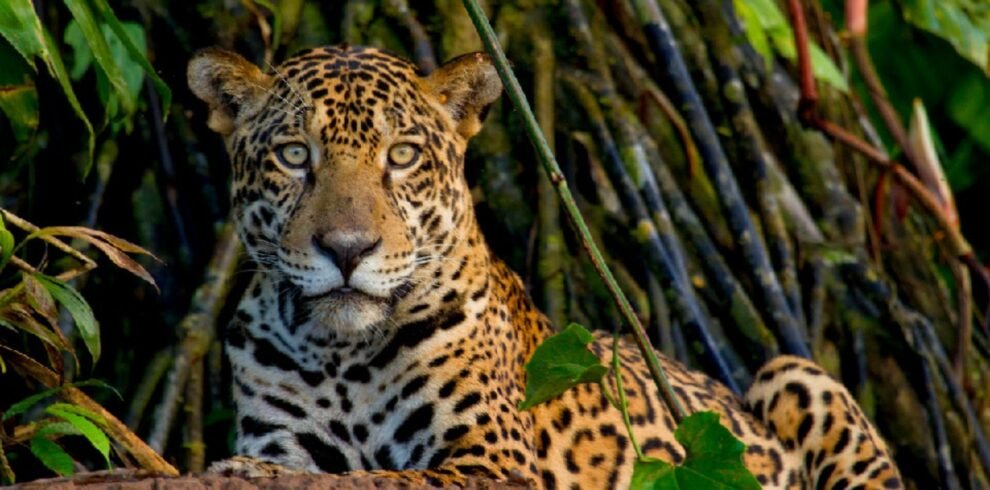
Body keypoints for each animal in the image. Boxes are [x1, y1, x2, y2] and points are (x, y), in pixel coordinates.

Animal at [187, 44, 904, 489]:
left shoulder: (490, 461)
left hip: (795, 374)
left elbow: (387, 475)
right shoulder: (283, 431)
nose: (346, 248)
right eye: (293, 155)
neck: (340, 354)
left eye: (402, 155)